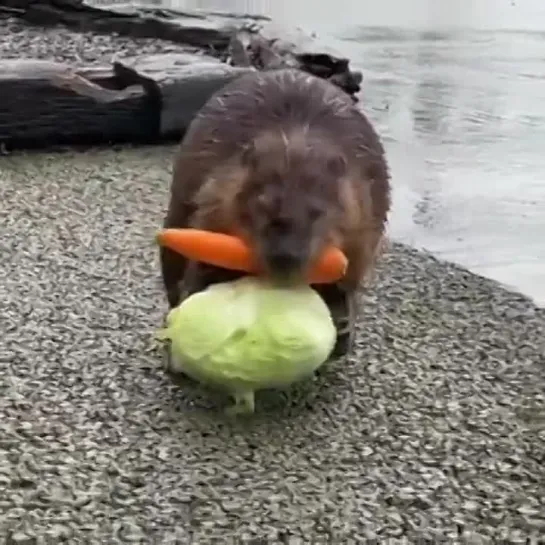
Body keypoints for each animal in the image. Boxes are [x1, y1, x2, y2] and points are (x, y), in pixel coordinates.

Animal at [159, 68, 388, 356]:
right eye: (263, 204)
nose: (285, 258)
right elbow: (202, 243)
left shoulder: (366, 205)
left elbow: (356, 265)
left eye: (317, 212)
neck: (295, 141)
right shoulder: (215, 188)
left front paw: (344, 322)